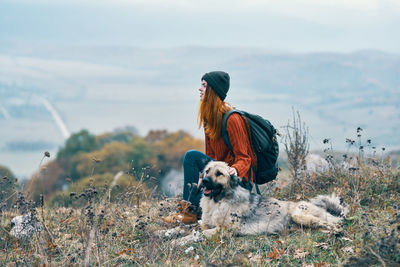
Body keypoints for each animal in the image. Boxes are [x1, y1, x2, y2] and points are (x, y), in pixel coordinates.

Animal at [172, 161, 346, 247]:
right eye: (207, 171)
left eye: (219, 174)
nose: (205, 181)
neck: (217, 201)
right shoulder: (206, 224)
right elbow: (188, 227)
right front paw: (170, 232)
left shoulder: (223, 230)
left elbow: (196, 234)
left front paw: (178, 241)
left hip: (299, 215)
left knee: (333, 224)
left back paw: (336, 231)